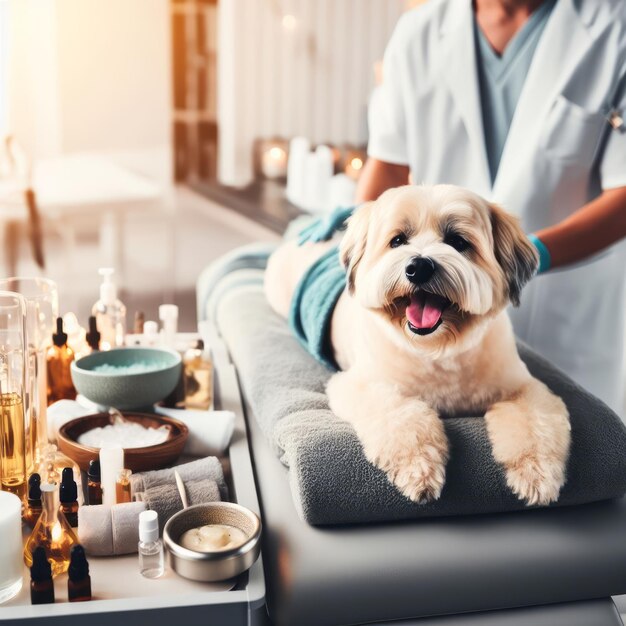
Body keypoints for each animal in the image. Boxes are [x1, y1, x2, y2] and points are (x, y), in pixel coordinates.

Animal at [264, 184, 572, 502]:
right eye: (398, 240)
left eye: (457, 241)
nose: (419, 266)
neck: (438, 350)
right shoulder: (363, 385)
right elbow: (402, 416)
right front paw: (418, 467)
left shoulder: (524, 389)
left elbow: (536, 425)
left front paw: (537, 472)